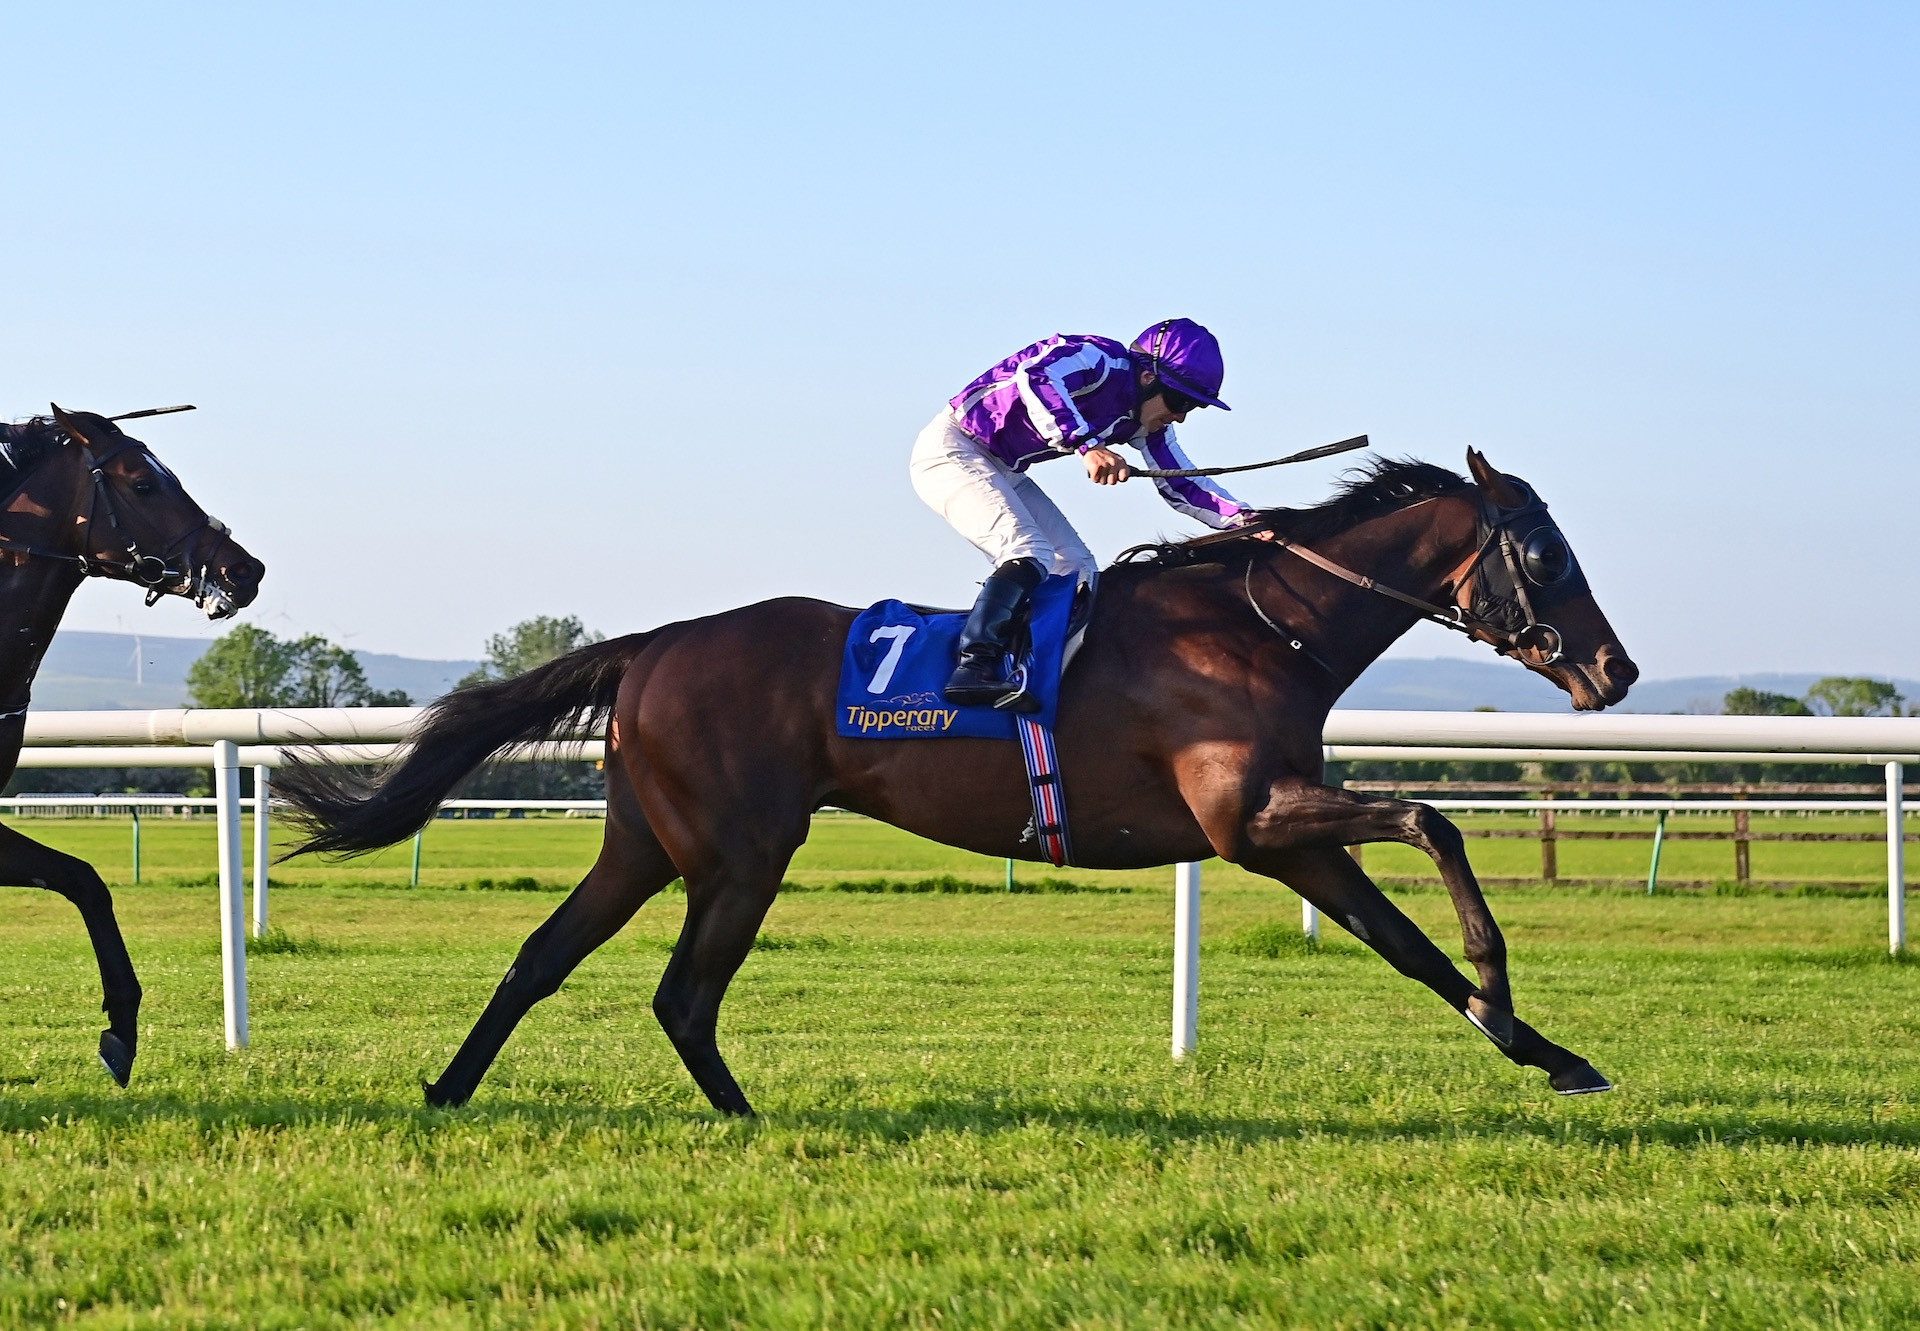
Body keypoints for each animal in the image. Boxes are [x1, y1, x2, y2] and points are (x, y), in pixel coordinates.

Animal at [284, 451, 1635, 1113]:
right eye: (1545, 552)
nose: (1615, 667)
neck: (1260, 624)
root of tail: (657, 642)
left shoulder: (1285, 832)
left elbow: (1403, 938)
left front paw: (1540, 1046)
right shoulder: (1246, 817)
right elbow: (1435, 818)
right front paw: (1507, 990)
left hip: (646, 838)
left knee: (546, 957)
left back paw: (453, 1090)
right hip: (740, 845)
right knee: (681, 991)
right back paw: (739, 1114)